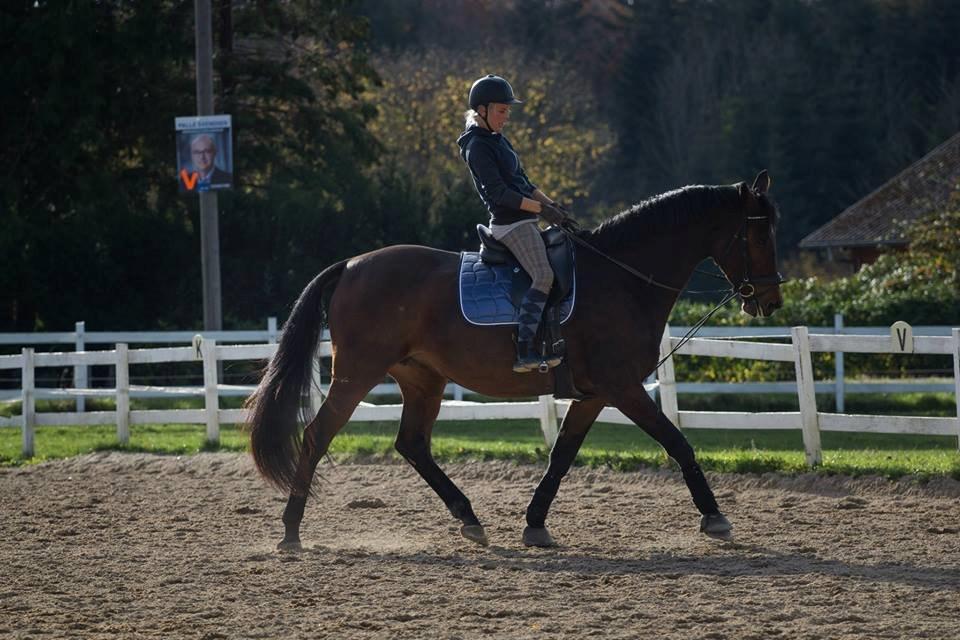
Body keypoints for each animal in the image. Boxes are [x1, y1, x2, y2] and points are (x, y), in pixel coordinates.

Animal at [244, 170, 784, 552]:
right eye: (758, 235)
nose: (771, 301)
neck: (622, 277)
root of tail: (352, 265)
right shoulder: (624, 388)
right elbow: (678, 442)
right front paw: (714, 517)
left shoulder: (595, 394)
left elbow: (562, 454)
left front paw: (535, 524)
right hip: (357, 375)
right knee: (317, 436)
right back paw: (290, 531)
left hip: (422, 380)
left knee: (412, 444)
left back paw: (469, 518)